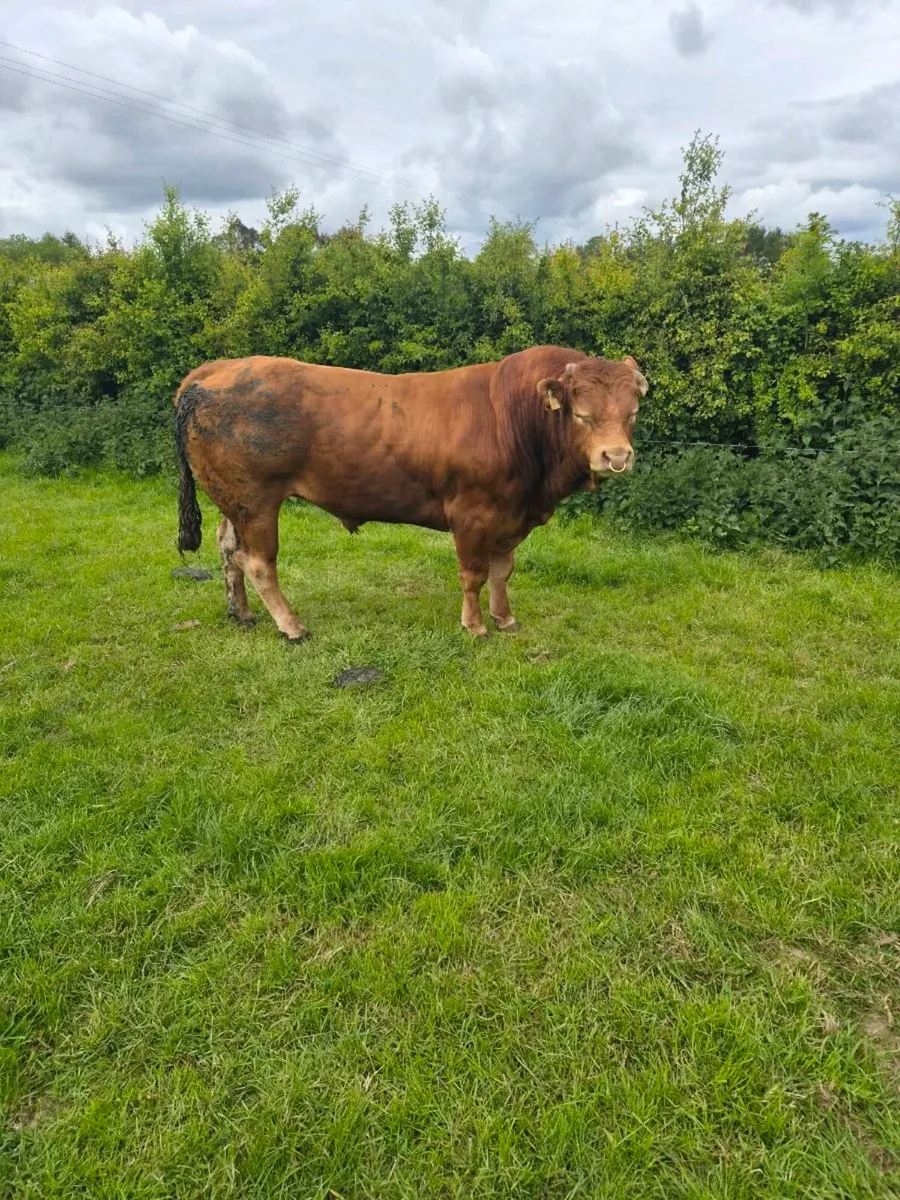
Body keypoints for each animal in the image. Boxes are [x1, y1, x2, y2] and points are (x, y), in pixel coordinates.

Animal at [172, 345, 647, 640]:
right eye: (582, 415)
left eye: (632, 412)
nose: (616, 456)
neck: (512, 416)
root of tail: (217, 368)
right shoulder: (472, 513)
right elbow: (473, 574)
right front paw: (475, 626)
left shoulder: (511, 515)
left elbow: (501, 571)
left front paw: (505, 618)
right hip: (256, 501)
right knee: (257, 562)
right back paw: (291, 626)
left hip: (233, 500)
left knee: (228, 551)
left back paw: (241, 612)